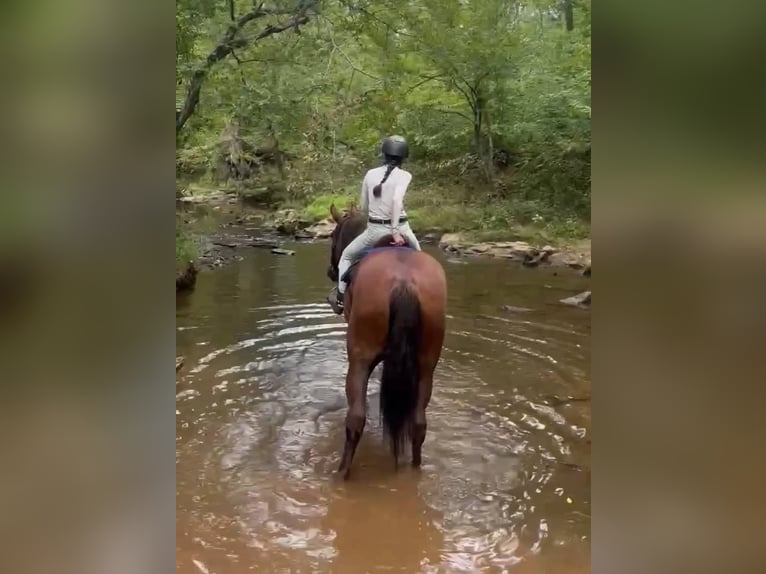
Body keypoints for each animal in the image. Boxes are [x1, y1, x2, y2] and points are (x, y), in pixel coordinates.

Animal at [327, 203, 447, 480]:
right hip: (426, 365)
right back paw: (415, 468)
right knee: (418, 423)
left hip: (359, 359)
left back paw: (341, 473)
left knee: (355, 419)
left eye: (332, 236)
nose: (330, 272)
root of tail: (404, 282)